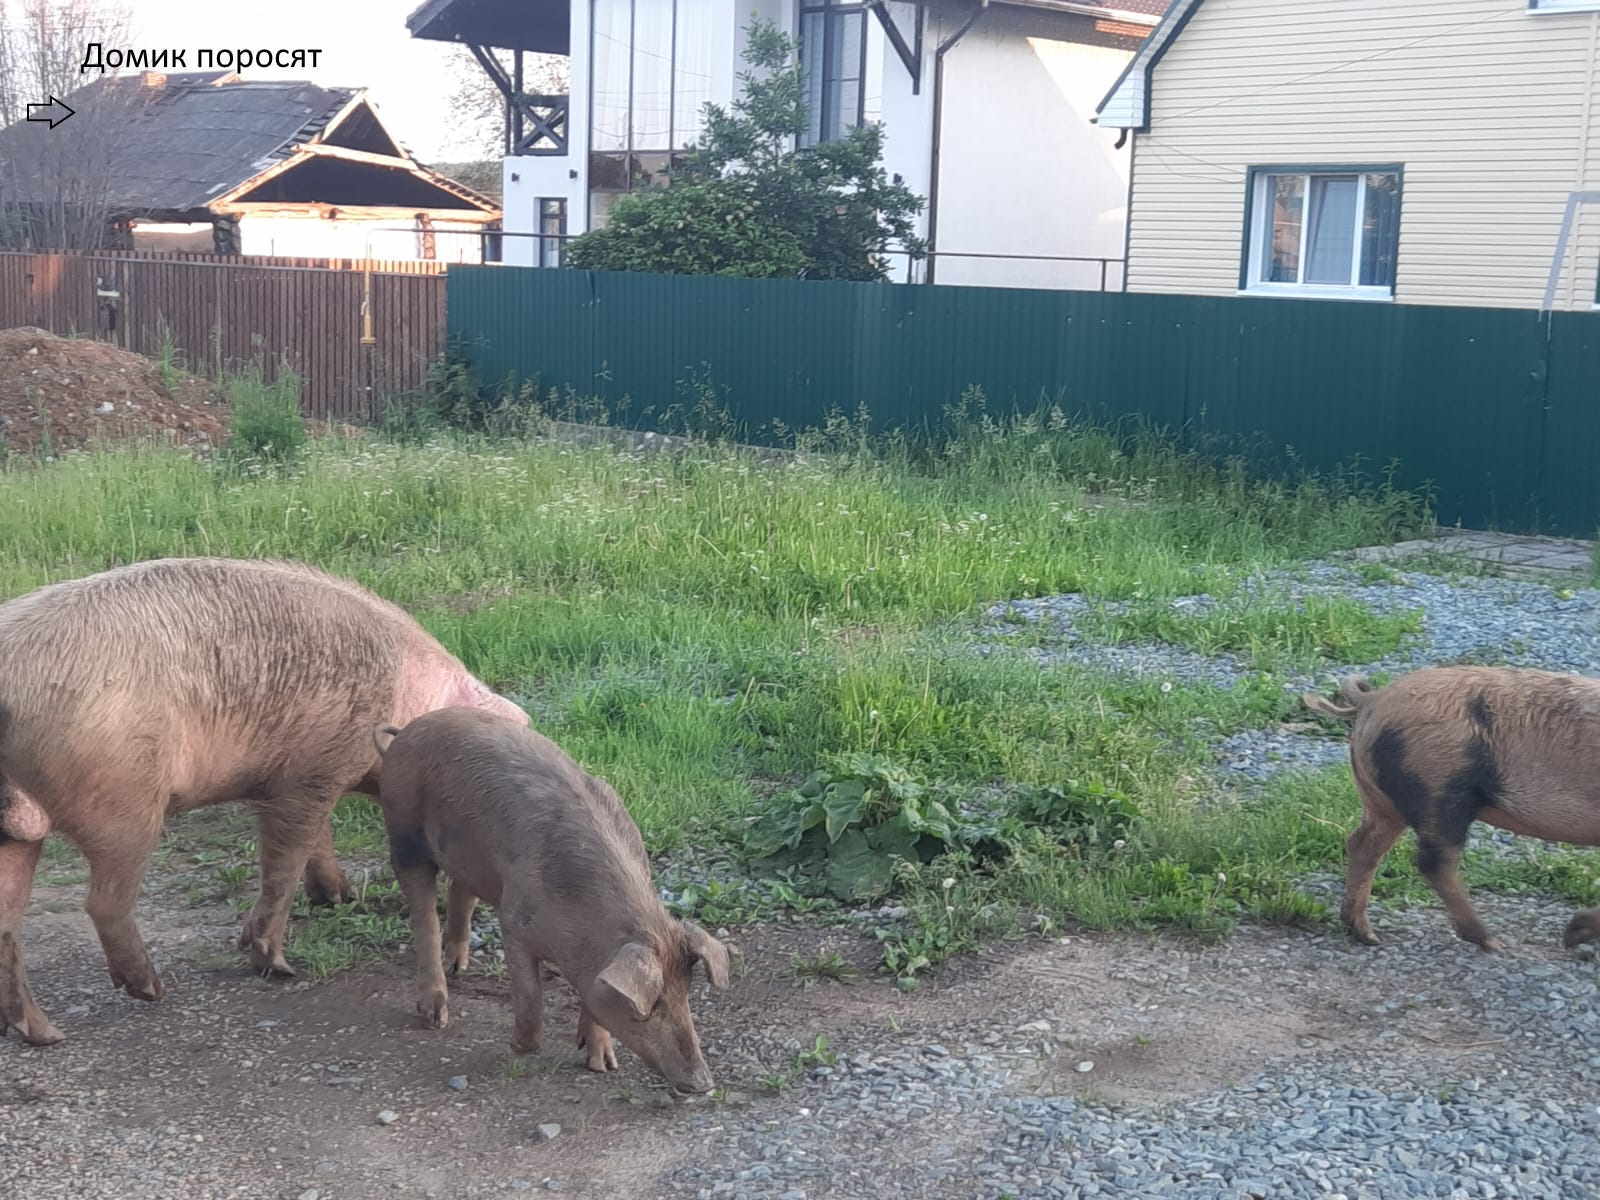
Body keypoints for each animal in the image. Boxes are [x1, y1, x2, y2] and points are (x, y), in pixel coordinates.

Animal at [0, 560, 528, 1049]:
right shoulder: (308, 774)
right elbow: (286, 858)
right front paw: (275, 963)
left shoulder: (311, 777)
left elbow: (317, 840)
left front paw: (339, 898)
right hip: (124, 804)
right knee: (104, 901)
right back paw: (151, 990)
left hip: (18, 833)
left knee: (9, 920)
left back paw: (44, 1034)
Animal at [371, 710, 729, 1094]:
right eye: (652, 1004)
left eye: (686, 992)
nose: (703, 1083)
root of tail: (407, 731)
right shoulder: (515, 922)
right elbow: (530, 997)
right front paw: (518, 1048)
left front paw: (603, 1066)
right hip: (402, 830)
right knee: (423, 915)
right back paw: (436, 1016)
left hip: (467, 853)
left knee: (460, 889)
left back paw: (459, 967)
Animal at [1299, 668, 1600, 960]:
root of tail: (1373, 698)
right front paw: (1572, 937)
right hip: (1438, 786)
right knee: (1433, 861)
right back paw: (1493, 942)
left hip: (1384, 800)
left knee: (1363, 844)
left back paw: (1367, 935)